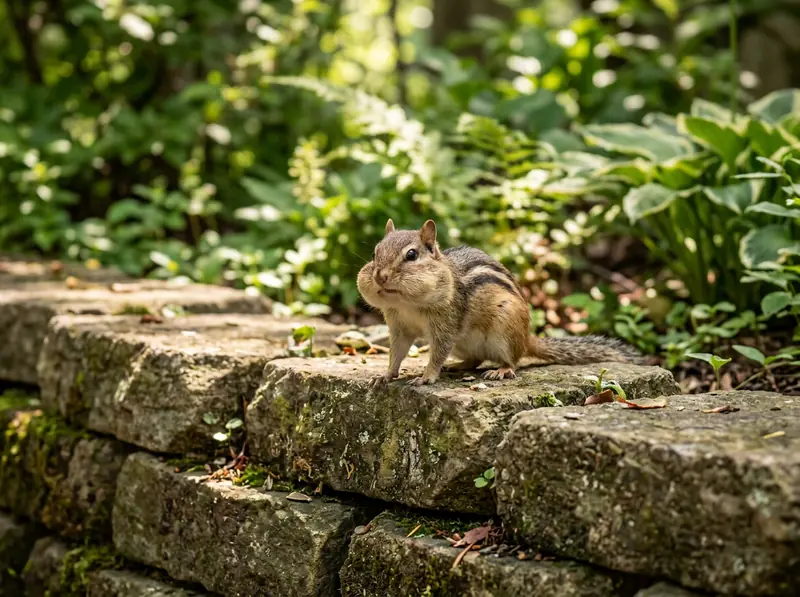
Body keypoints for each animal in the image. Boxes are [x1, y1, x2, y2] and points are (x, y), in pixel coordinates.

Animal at [357, 219, 642, 387]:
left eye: (411, 255)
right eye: (374, 252)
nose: (380, 276)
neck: (407, 304)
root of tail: (527, 338)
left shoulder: (446, 322)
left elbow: (437, 351)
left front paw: (426, 376)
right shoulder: (399, 325)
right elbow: (397, 352)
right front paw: (386, 374)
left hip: (505, 328)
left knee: (512, 361)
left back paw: (501, 370)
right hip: (465, 345)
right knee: (474, 359)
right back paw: (457, 365)